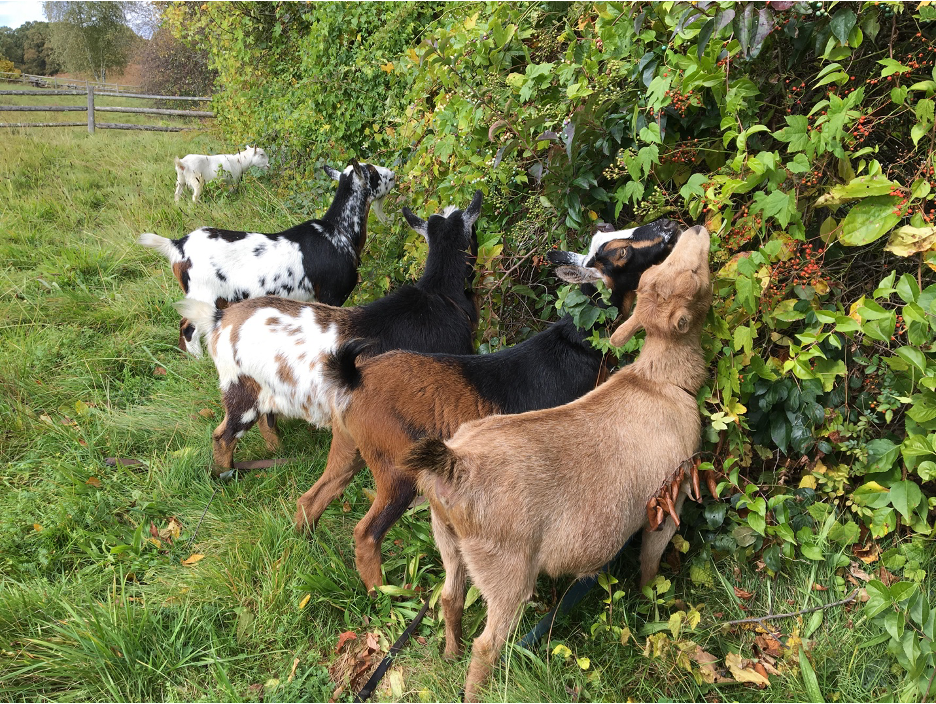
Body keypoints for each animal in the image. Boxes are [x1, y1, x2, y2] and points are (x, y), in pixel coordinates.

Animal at [140, 160, 396, 357]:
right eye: (373, 172)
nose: (393, 175)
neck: (338, 231)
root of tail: (177, 246)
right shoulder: (331, 296)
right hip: (202, 295)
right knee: (188, 326)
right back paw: (198, 359)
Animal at [174, 191, 483, 474]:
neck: (439, 295)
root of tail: (219, 319)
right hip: (240, 391)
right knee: (223, 436)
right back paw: (226, 474)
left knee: (265, 420)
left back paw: (278, 451)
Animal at [293, 218, 681, 593]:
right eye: (621, 253)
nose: (668, 225)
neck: (576, 344)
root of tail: (352, 378)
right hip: (396, 471)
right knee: (366, 533)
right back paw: (383, 596)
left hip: (350, 448)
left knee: (312, 498)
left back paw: (306, 546)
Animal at [401, 225, 712, 701]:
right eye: (694, 274)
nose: (689, 228)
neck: (660, 381)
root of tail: (455, 462)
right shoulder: (668, 498)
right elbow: (650, 559)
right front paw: (650, 600)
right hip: (506, 571)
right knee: (487, 645)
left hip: (448, 541)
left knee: (450, 599)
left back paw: (450, 654)